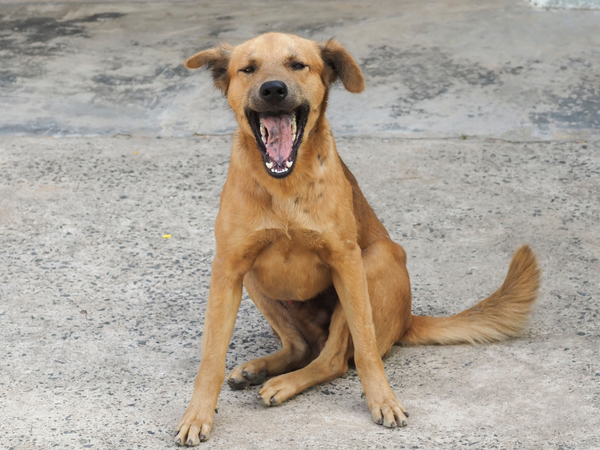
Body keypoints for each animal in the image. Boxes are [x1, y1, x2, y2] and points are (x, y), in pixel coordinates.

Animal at [176, 33, 540, 444]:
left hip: (378, 258)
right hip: (255, 279)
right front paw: (197, 414)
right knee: (301, 346)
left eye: (297, 65)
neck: (284, 187)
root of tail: (409, 319)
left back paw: (285, 383)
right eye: (248, 69)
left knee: (332, 359)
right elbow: (211, 358)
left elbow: (365, 350)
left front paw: (382, 400)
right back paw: (261, 369)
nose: (272, 90)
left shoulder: (347, 262)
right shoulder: (228, 268)